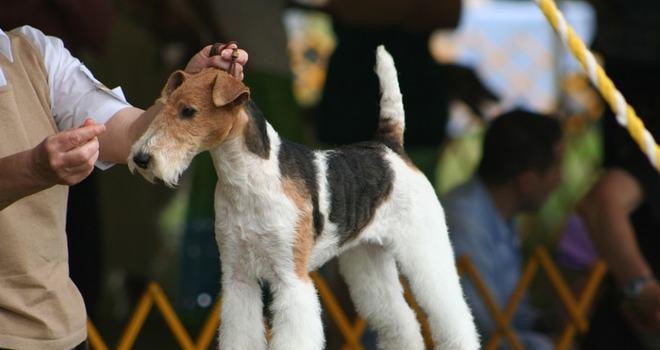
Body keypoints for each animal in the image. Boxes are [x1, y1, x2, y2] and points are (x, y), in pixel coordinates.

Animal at [129, 46, 480, 350]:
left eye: (189, 111)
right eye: (162, 107)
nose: (142, 158)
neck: (245, 179)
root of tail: (389, 146)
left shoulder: (290, 278)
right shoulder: (238, 277)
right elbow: (240, 332)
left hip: (425, 248)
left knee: (452, 311)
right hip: (368, 259)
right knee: (401, 320)